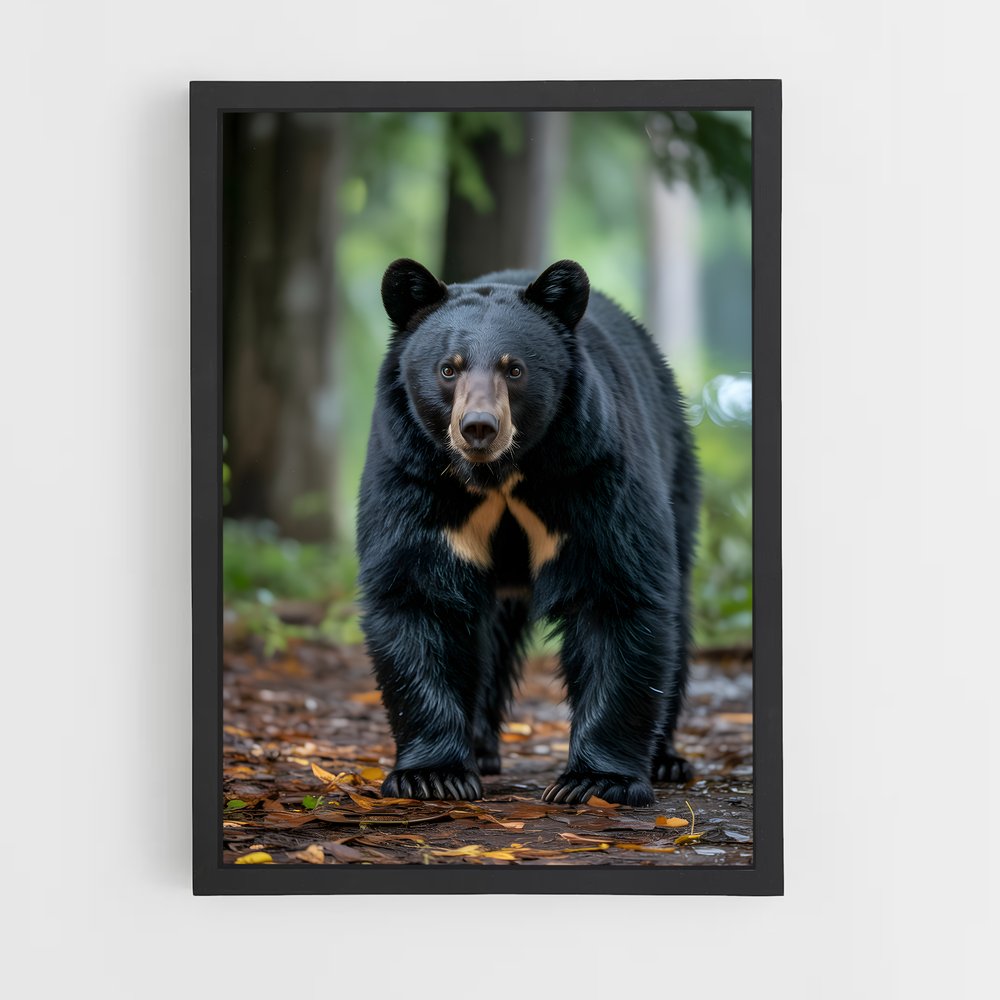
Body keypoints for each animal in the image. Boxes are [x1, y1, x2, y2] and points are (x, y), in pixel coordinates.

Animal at [356, 258, 699, 807]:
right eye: (448, 368)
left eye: (513, 369)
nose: (478, 427)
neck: (497, 477)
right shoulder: (414, 476)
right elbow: (418, 594)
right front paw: (432, 775)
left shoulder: (590, 469)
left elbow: (615, 594)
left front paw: (594, 780)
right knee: (488, 636)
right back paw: (480, 749)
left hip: (678, 473)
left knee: (677, 612)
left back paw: (666, 759)